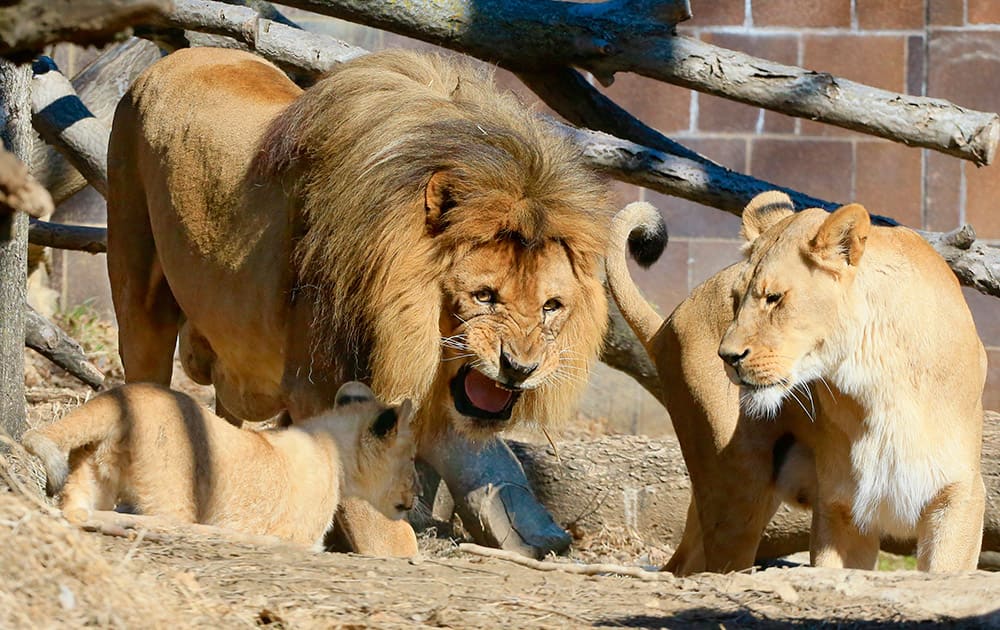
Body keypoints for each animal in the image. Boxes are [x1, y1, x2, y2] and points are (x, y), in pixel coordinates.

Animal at [20, 380, 418, 548]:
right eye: (412, 458)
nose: (415, 494)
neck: (332, 447)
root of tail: (121, 395)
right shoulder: (303, 536)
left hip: (94, 469)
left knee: (72, 510)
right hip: (175, 491)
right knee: (165, 522)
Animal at [111, 45, 624, 556]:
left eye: (551, 306)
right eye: (484, 295)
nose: (519, 369)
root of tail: (178, 56)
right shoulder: (316, 382)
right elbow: (376, 516)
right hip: (139, 289)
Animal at [604, 196, 988, 572]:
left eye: (774, 298)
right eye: (736, 299)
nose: (727, 356)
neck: (878, 380)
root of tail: (667, 322)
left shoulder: (960, 496)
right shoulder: (841, 505)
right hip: (733, 488)